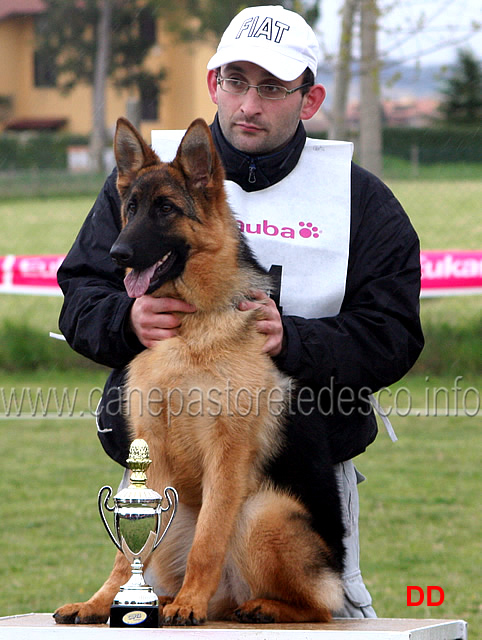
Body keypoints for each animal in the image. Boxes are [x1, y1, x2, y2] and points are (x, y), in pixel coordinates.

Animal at [54, 117, 344, 624]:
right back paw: (177, 600)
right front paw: (101, 603)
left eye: (166, 209)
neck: (192, 326)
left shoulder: (226, 458)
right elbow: (125, 555)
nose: (117, 253)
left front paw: (189, 604)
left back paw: (253, 606)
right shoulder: (150, 457)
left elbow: (209, 540)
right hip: (181, 516)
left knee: (320, 608)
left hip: (261, 511)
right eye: (131, 208)